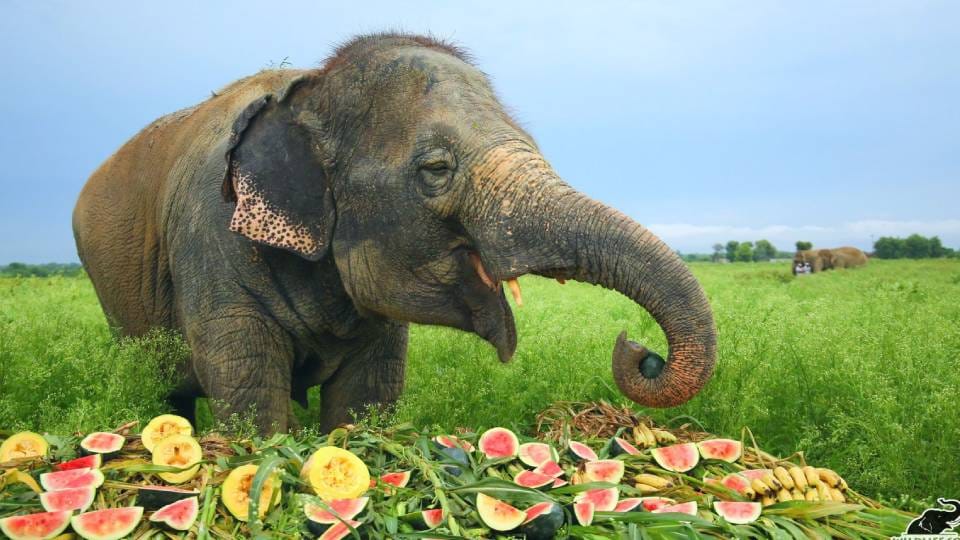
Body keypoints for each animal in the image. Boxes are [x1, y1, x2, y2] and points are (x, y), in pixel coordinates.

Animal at [73, 33, 717, 433]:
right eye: (435, 169)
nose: (638, 349)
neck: (311, 88)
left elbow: (367, 397)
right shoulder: (211, 243)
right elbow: (250, 393)